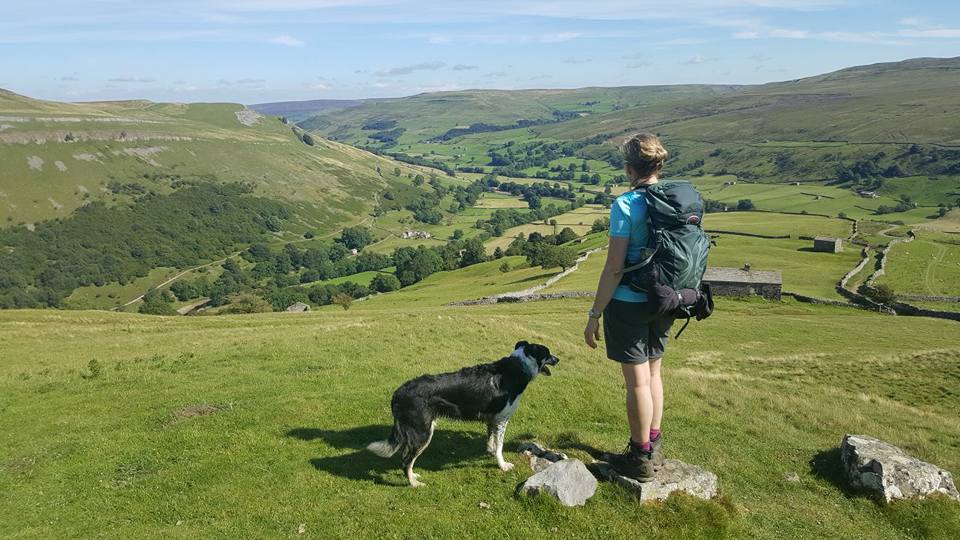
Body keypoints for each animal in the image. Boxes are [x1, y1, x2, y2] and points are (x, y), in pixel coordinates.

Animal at [368, 344, 564, 488]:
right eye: (548, 353)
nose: (558, 359)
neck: (518, 367)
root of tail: (398, 393)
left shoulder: (492, 420)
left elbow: (491, 441)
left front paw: (490, 453)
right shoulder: (502, 420)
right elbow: (500, 446)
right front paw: (502, 465)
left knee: (406, 457)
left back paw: (414, 475)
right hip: (423, 432)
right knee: (405, 460)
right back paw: (413, 483)